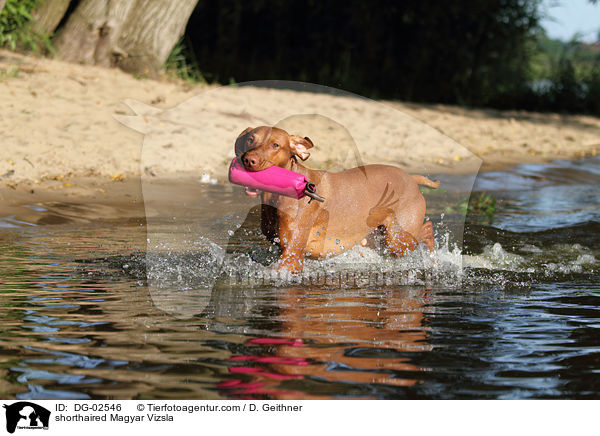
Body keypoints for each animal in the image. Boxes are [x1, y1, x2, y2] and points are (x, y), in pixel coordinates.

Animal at [236, 125, 440, 272]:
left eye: (275, 145)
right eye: (250, 139)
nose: (248, 160)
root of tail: (411, 178)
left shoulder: (291, 254)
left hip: (398, 240)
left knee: (427, 229)